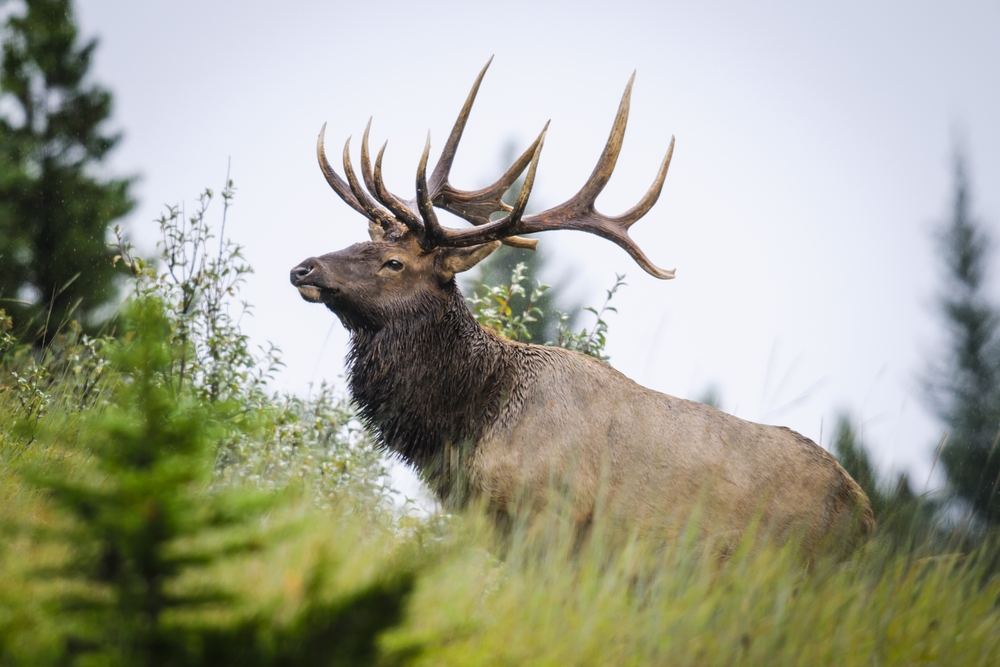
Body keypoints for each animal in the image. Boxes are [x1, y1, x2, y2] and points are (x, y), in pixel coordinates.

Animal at [292, 60, 876, 556]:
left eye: (393, 262)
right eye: (357, 241)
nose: (304, 269)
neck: (470, 425)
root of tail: (864, 513)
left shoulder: (552, 515)